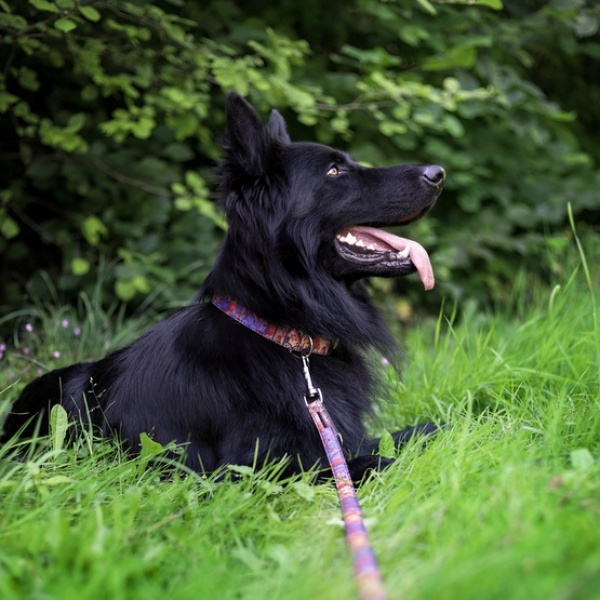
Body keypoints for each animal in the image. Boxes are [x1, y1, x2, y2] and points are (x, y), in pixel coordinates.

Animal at [1, 94, 446, 482]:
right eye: (334, 171)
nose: (438, 174)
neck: (281, 334)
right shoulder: (250, 470)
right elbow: (375, 461)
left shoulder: (340, 438)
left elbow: (417, 431)